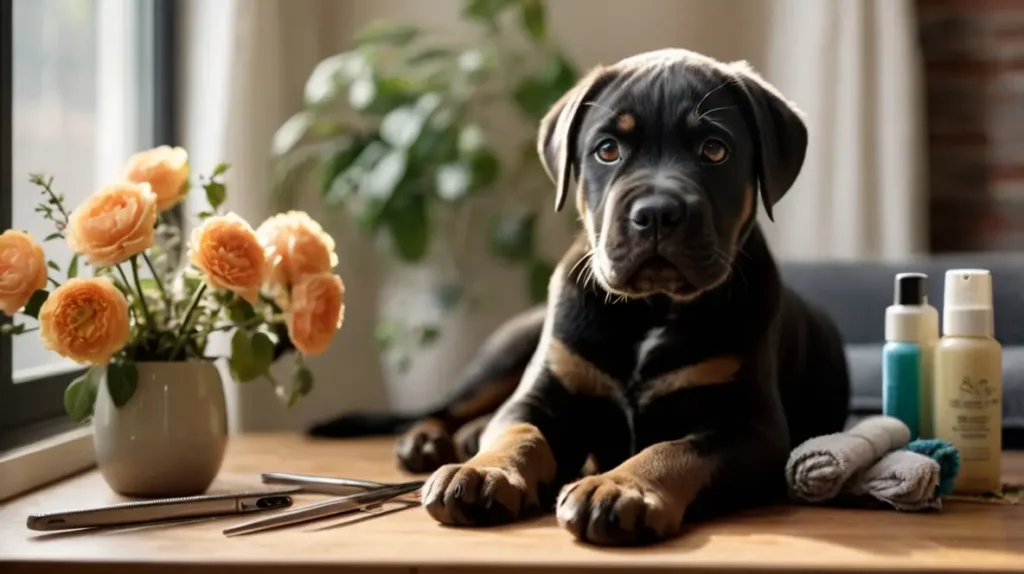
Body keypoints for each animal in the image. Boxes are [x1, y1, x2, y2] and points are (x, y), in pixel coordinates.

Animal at [411, 47, 851, 544]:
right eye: (607, 150)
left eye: (714, 149)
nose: (656, 213)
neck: (650, 309)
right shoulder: (541, 392)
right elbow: (517, 431)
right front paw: (484, 470)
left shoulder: (748, 426)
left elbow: (674, 449)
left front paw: (621, 486)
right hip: (504, 357)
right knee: (447, 406)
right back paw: (429, 440)